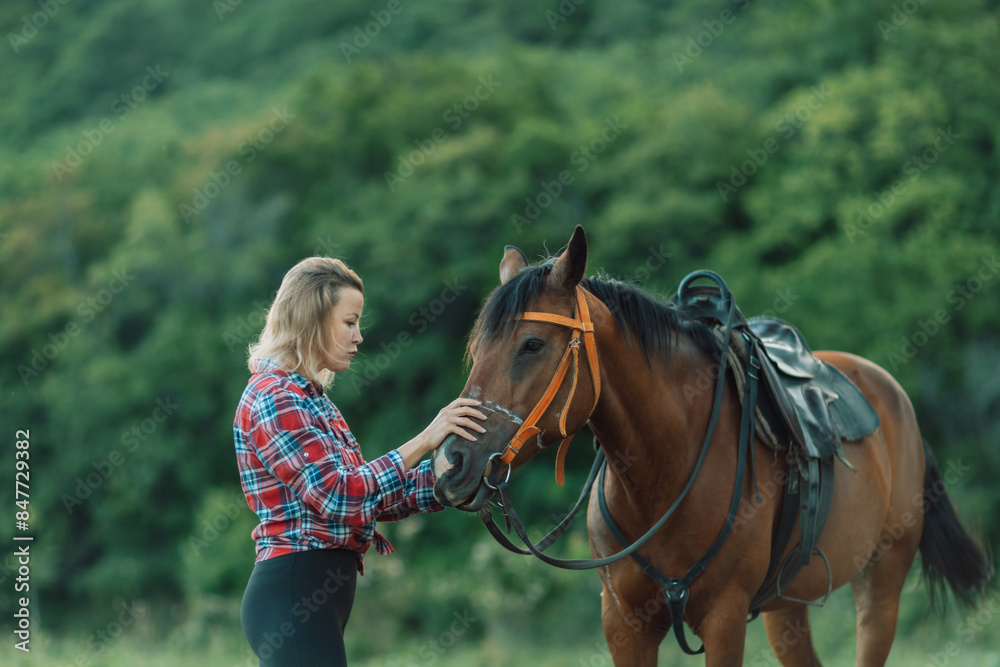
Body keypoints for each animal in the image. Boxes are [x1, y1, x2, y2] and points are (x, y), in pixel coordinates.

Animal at [431, 225, 991, 666]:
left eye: (532, 345)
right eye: (477, 349)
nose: (450, 464)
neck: (664, 475)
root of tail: (891, 394)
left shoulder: (724, 619)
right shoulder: (623, 623)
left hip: (882, 583)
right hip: (788, 606)